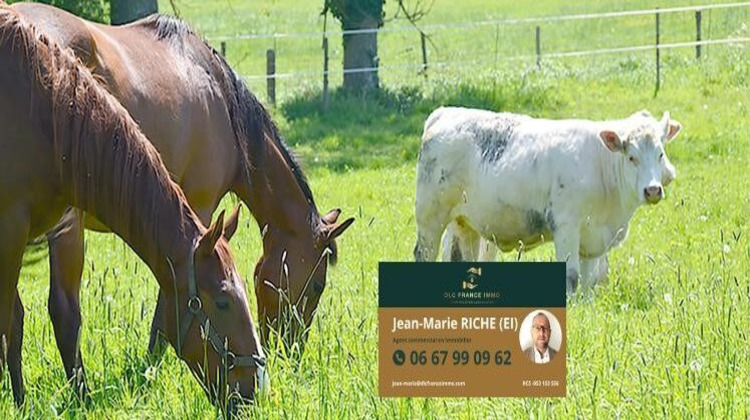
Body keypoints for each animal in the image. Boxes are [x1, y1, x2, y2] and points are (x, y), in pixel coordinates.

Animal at [11, 0, 352, 370]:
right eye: (317, 285)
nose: (290, 351)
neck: (222, 98)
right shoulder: (198, 210)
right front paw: (153, 364)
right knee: (64, 309)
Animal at [414, 107, 684, 292]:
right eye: (631, 157)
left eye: (660, 153)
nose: (653, 190)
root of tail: (446, 112)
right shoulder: (567, 226)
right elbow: (571, 276)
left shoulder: (593, 236)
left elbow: (590, 279)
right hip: (430, 218)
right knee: (424, 253)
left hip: (465, 224)